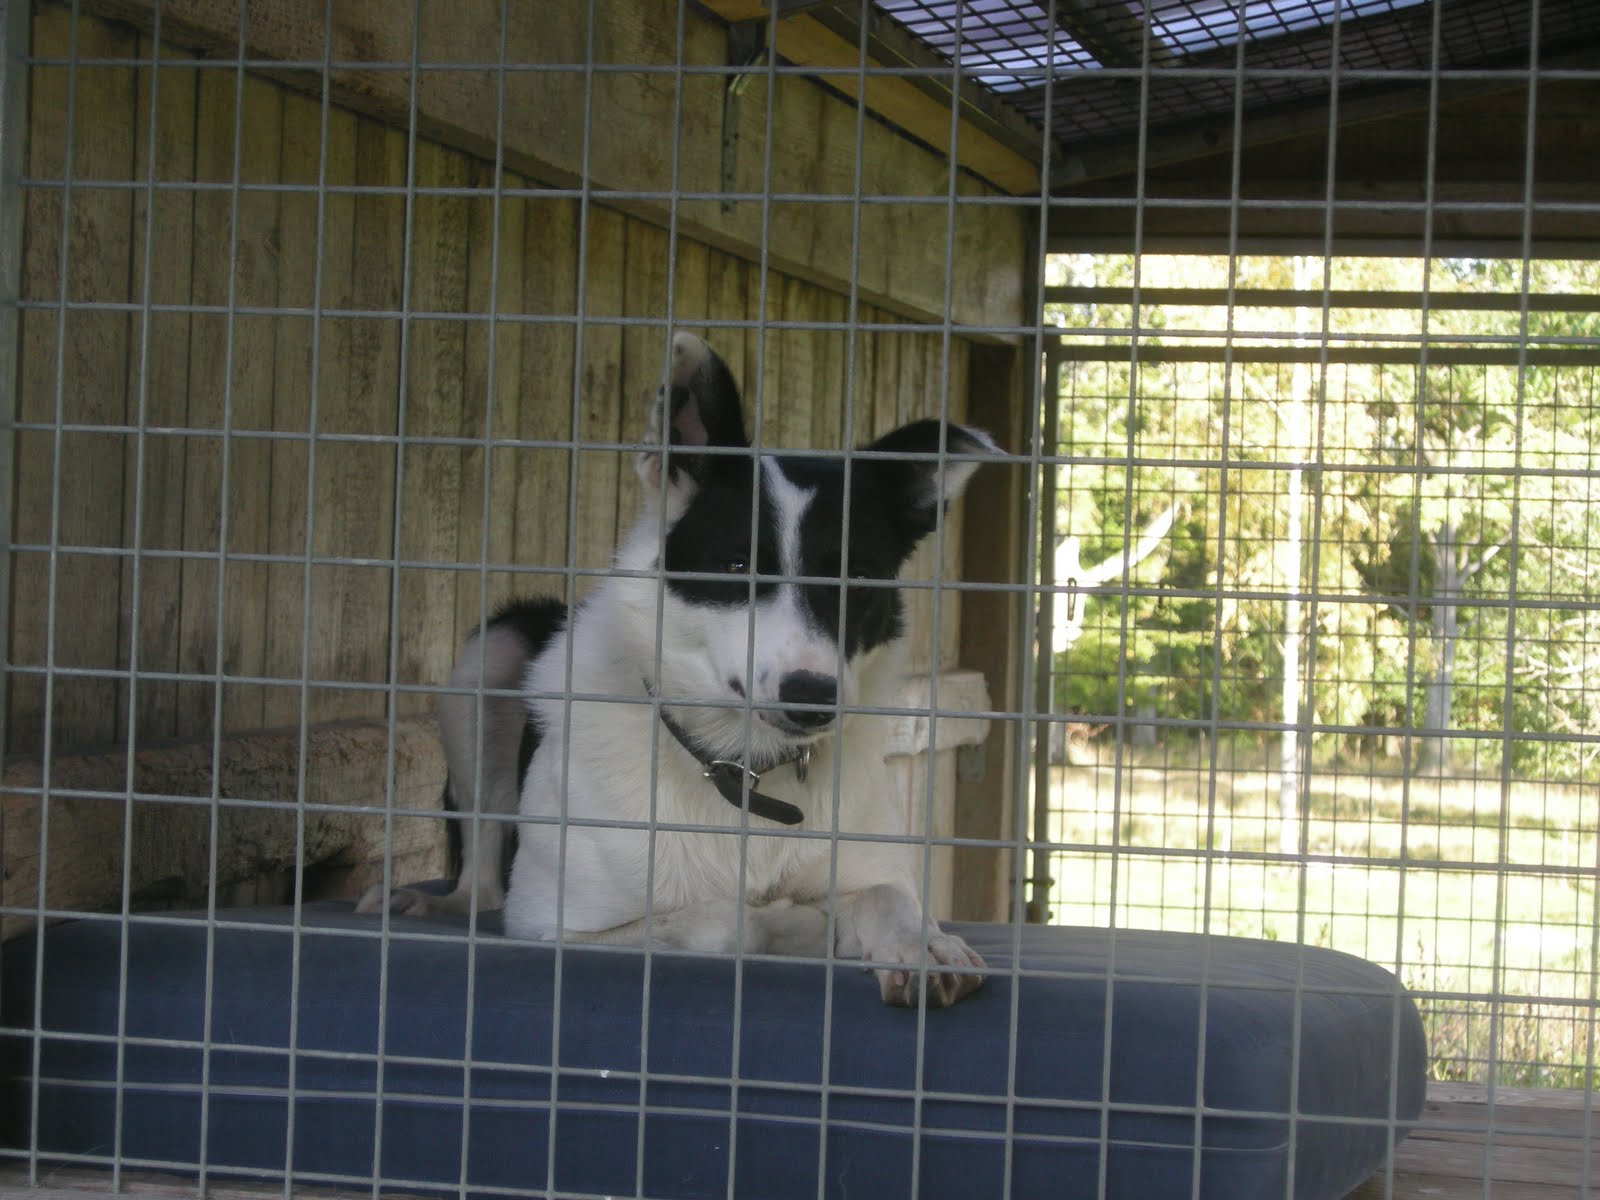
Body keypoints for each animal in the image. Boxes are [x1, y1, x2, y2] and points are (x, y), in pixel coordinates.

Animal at [360, 332, 998, 1007]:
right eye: (736, 565)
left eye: (861, 579)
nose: (813, 696)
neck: (742, 769)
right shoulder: (554, 927)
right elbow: (723, 920)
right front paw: (798, 924)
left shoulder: (868, 863)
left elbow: (885, 896)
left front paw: (921, 945)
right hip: (486, 663)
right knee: (480, 882)